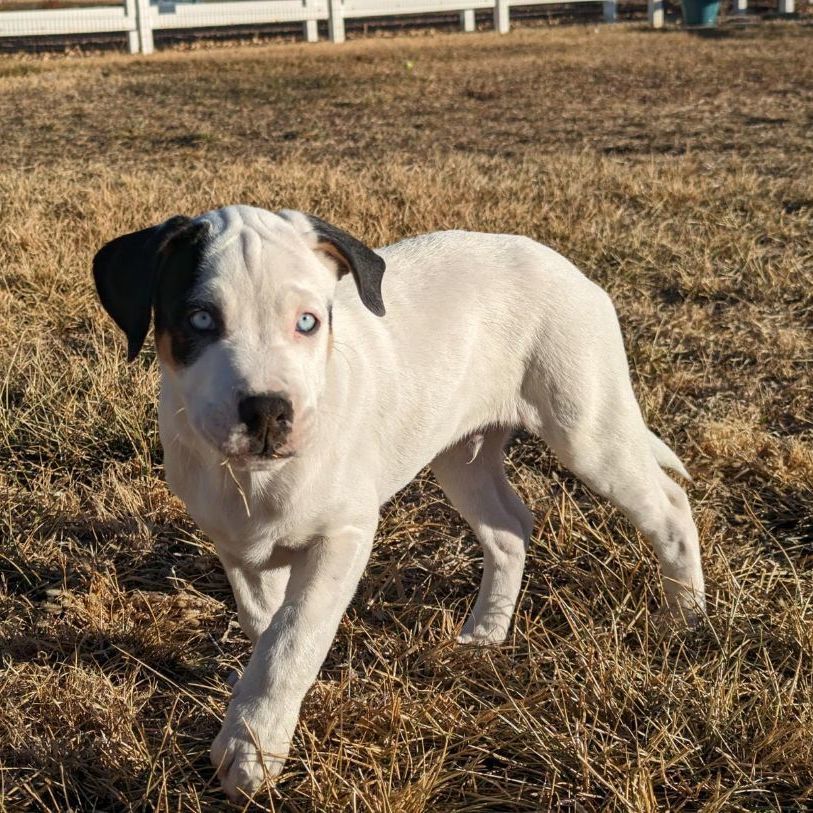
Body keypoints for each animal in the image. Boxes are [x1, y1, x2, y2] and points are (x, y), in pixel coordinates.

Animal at [93, 205, 704, 800]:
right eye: (200, 320)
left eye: (308, 322)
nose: (267, 412)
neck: (253, 478)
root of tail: (569, 269)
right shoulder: (238, 545)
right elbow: (265, 626)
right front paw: (258, 721)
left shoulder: (343, 535)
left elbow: (292, 637)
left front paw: (251, 747)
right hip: (463, 455)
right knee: (509, 528)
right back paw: (487, 633)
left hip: (586, 428)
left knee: (670, 506)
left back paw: (687, 618)